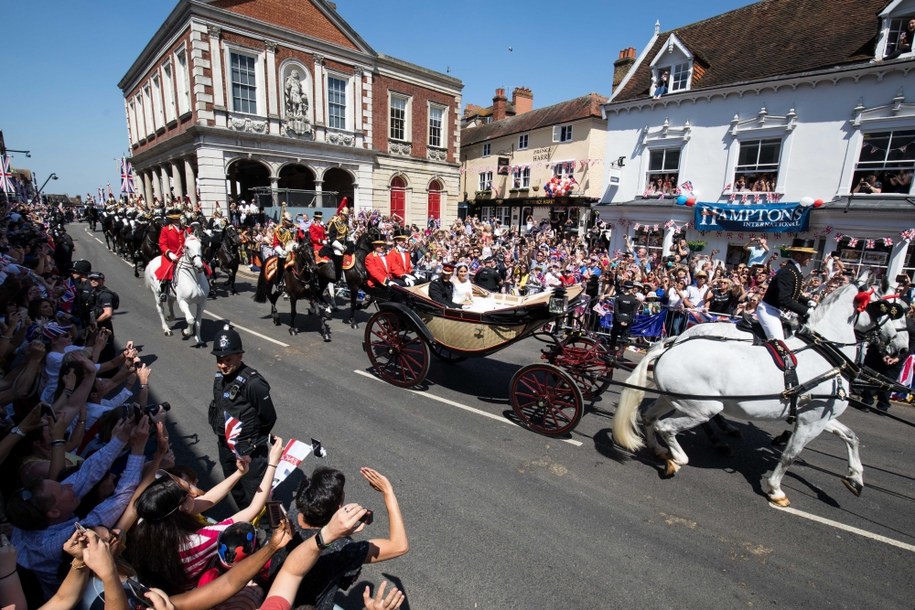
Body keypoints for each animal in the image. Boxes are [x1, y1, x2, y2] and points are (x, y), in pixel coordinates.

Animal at [616, 276, 900, 504]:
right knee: (667, 426)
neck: (827, 356)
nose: (898, 345)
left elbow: (851, 436)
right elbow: (790, 456)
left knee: (649, 417)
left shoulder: (818, 415)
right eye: (884, 307)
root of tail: (673, 343)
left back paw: (660, 449)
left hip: (674, 399)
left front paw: (855, 479)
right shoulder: (811, 422)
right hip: (703, 406)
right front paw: (775, 490)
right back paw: (679, 458)